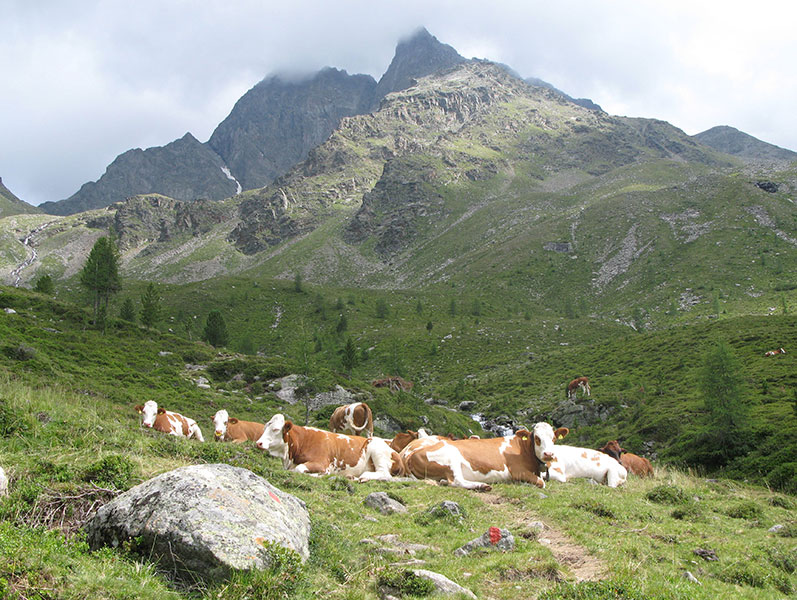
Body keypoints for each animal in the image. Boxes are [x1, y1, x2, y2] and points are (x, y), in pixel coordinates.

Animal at [256, 414, 404, 480]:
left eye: (275, 429)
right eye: (264, 427)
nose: (259, 443)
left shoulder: (322, 463)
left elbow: (299, 469)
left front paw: (318, 475)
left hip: (376, 448)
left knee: (384, 474)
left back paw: (363, 476)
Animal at [398, 428, 548, 490]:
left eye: (551, 438)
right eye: (537, 438)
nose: (549, 454)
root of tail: (410, 455)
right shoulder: (517, 470)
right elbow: (540, 482)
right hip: (451, 459)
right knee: (457, 481)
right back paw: (481, 486)